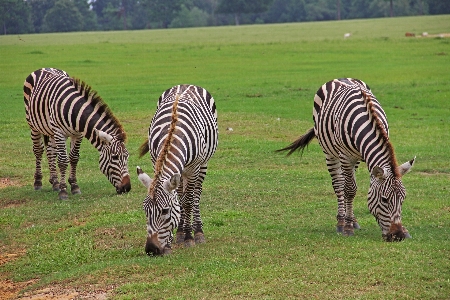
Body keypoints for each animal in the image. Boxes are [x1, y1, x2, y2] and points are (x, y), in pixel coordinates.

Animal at [23, 68, 131, 199]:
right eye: (115, 157)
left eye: (127, 156)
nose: (127, 188)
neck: (74, 111)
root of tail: (45, 68)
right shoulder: (59, 132)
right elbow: (63, 161)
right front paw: (63, 191)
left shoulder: (78, 134)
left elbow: (74, 158)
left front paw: (74, 186)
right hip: (33, 125)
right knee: (38, 150)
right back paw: (38, 182)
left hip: (51, 131)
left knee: (51, 152)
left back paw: (55, 182)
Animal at [137, 84, 218, 255]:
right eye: (145, 210)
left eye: (165, 211)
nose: (151, 250)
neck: (173, 133)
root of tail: (187, 85)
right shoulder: (156, 162)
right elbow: (179, 201)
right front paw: (172, 240)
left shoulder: (193, 168)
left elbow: (187, 202)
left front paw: (189, 237)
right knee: (181, 193)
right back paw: (180, 232)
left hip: (203, 164)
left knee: (196, 195)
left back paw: (198, 232)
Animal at [278, 78, 414, 241]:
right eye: (384, 199)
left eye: (403, 198)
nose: (398, 236)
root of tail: (340, 78)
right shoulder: (345, 156)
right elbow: (349, 190)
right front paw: (347, 227)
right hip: (330, 152)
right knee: (339, 185)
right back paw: (341, 221)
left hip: (354, 159)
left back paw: (353, 219)